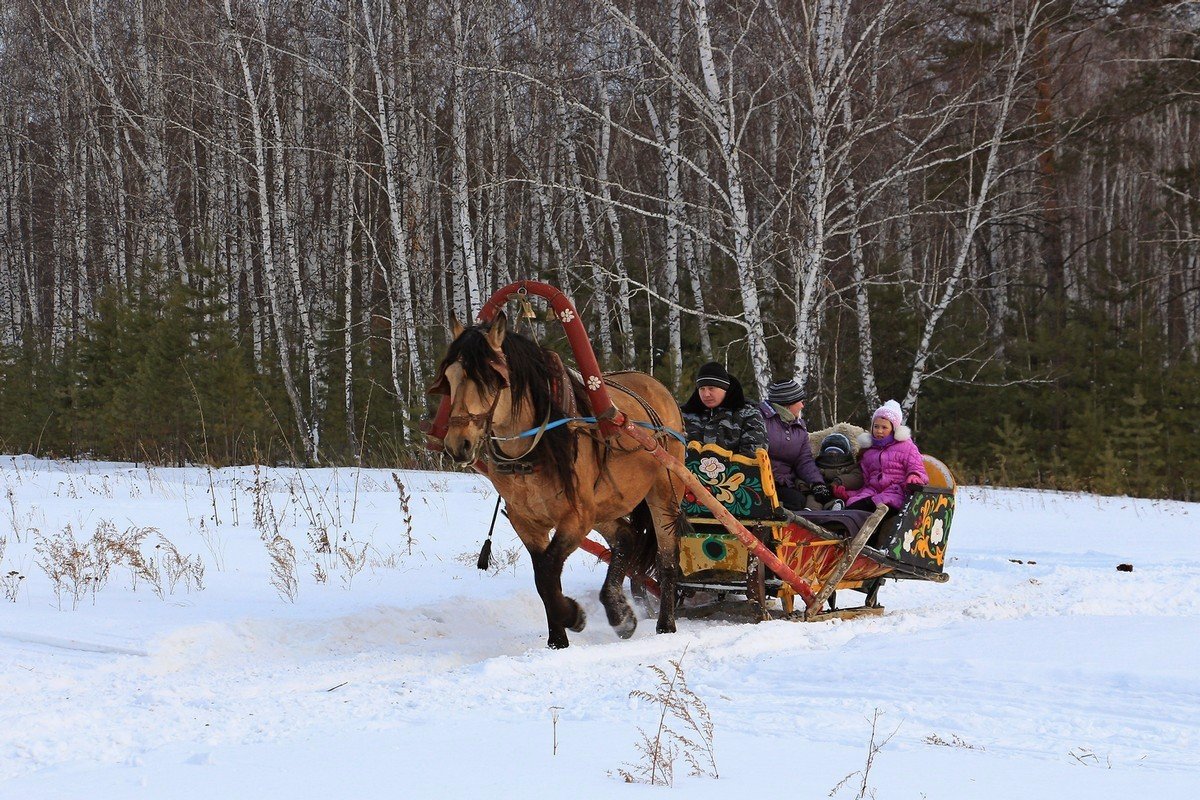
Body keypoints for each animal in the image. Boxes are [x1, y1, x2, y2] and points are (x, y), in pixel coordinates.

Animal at [432, 311, 686, 652]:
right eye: (449, 378)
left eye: (491, 379)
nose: (457, 444)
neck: (535, 447)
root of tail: (657, 386)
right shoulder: (527, 522)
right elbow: (544, 577)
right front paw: (558, 639)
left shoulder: (575, 517)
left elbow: (549, 569)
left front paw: (572, 615)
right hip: (603, 504)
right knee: (625, 537)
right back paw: (619, 613)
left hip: (663, 493)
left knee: (667, 558)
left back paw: (665, 623)